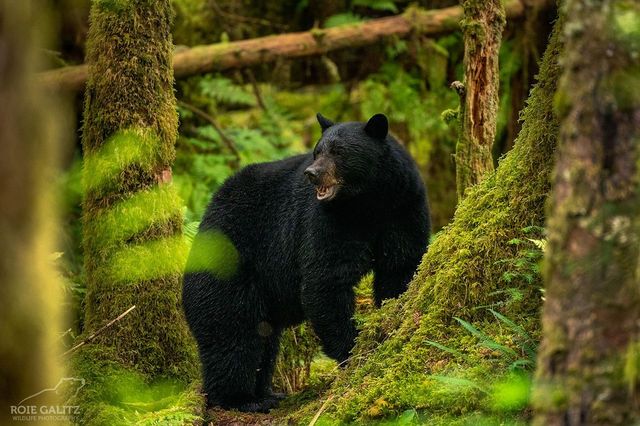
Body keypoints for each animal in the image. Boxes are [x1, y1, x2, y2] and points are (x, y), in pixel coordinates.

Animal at [181, 113, 430, 412]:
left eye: (339, 151)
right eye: (317, 150)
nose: (312, 173)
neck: (366, 204)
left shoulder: (403, 207)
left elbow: (400, 266)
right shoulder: (327, 221)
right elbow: (324, 281)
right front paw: (353, 348)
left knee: (264, 340)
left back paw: (265, 393)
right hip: (229, 268)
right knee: (233, 334)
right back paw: (241, 398)